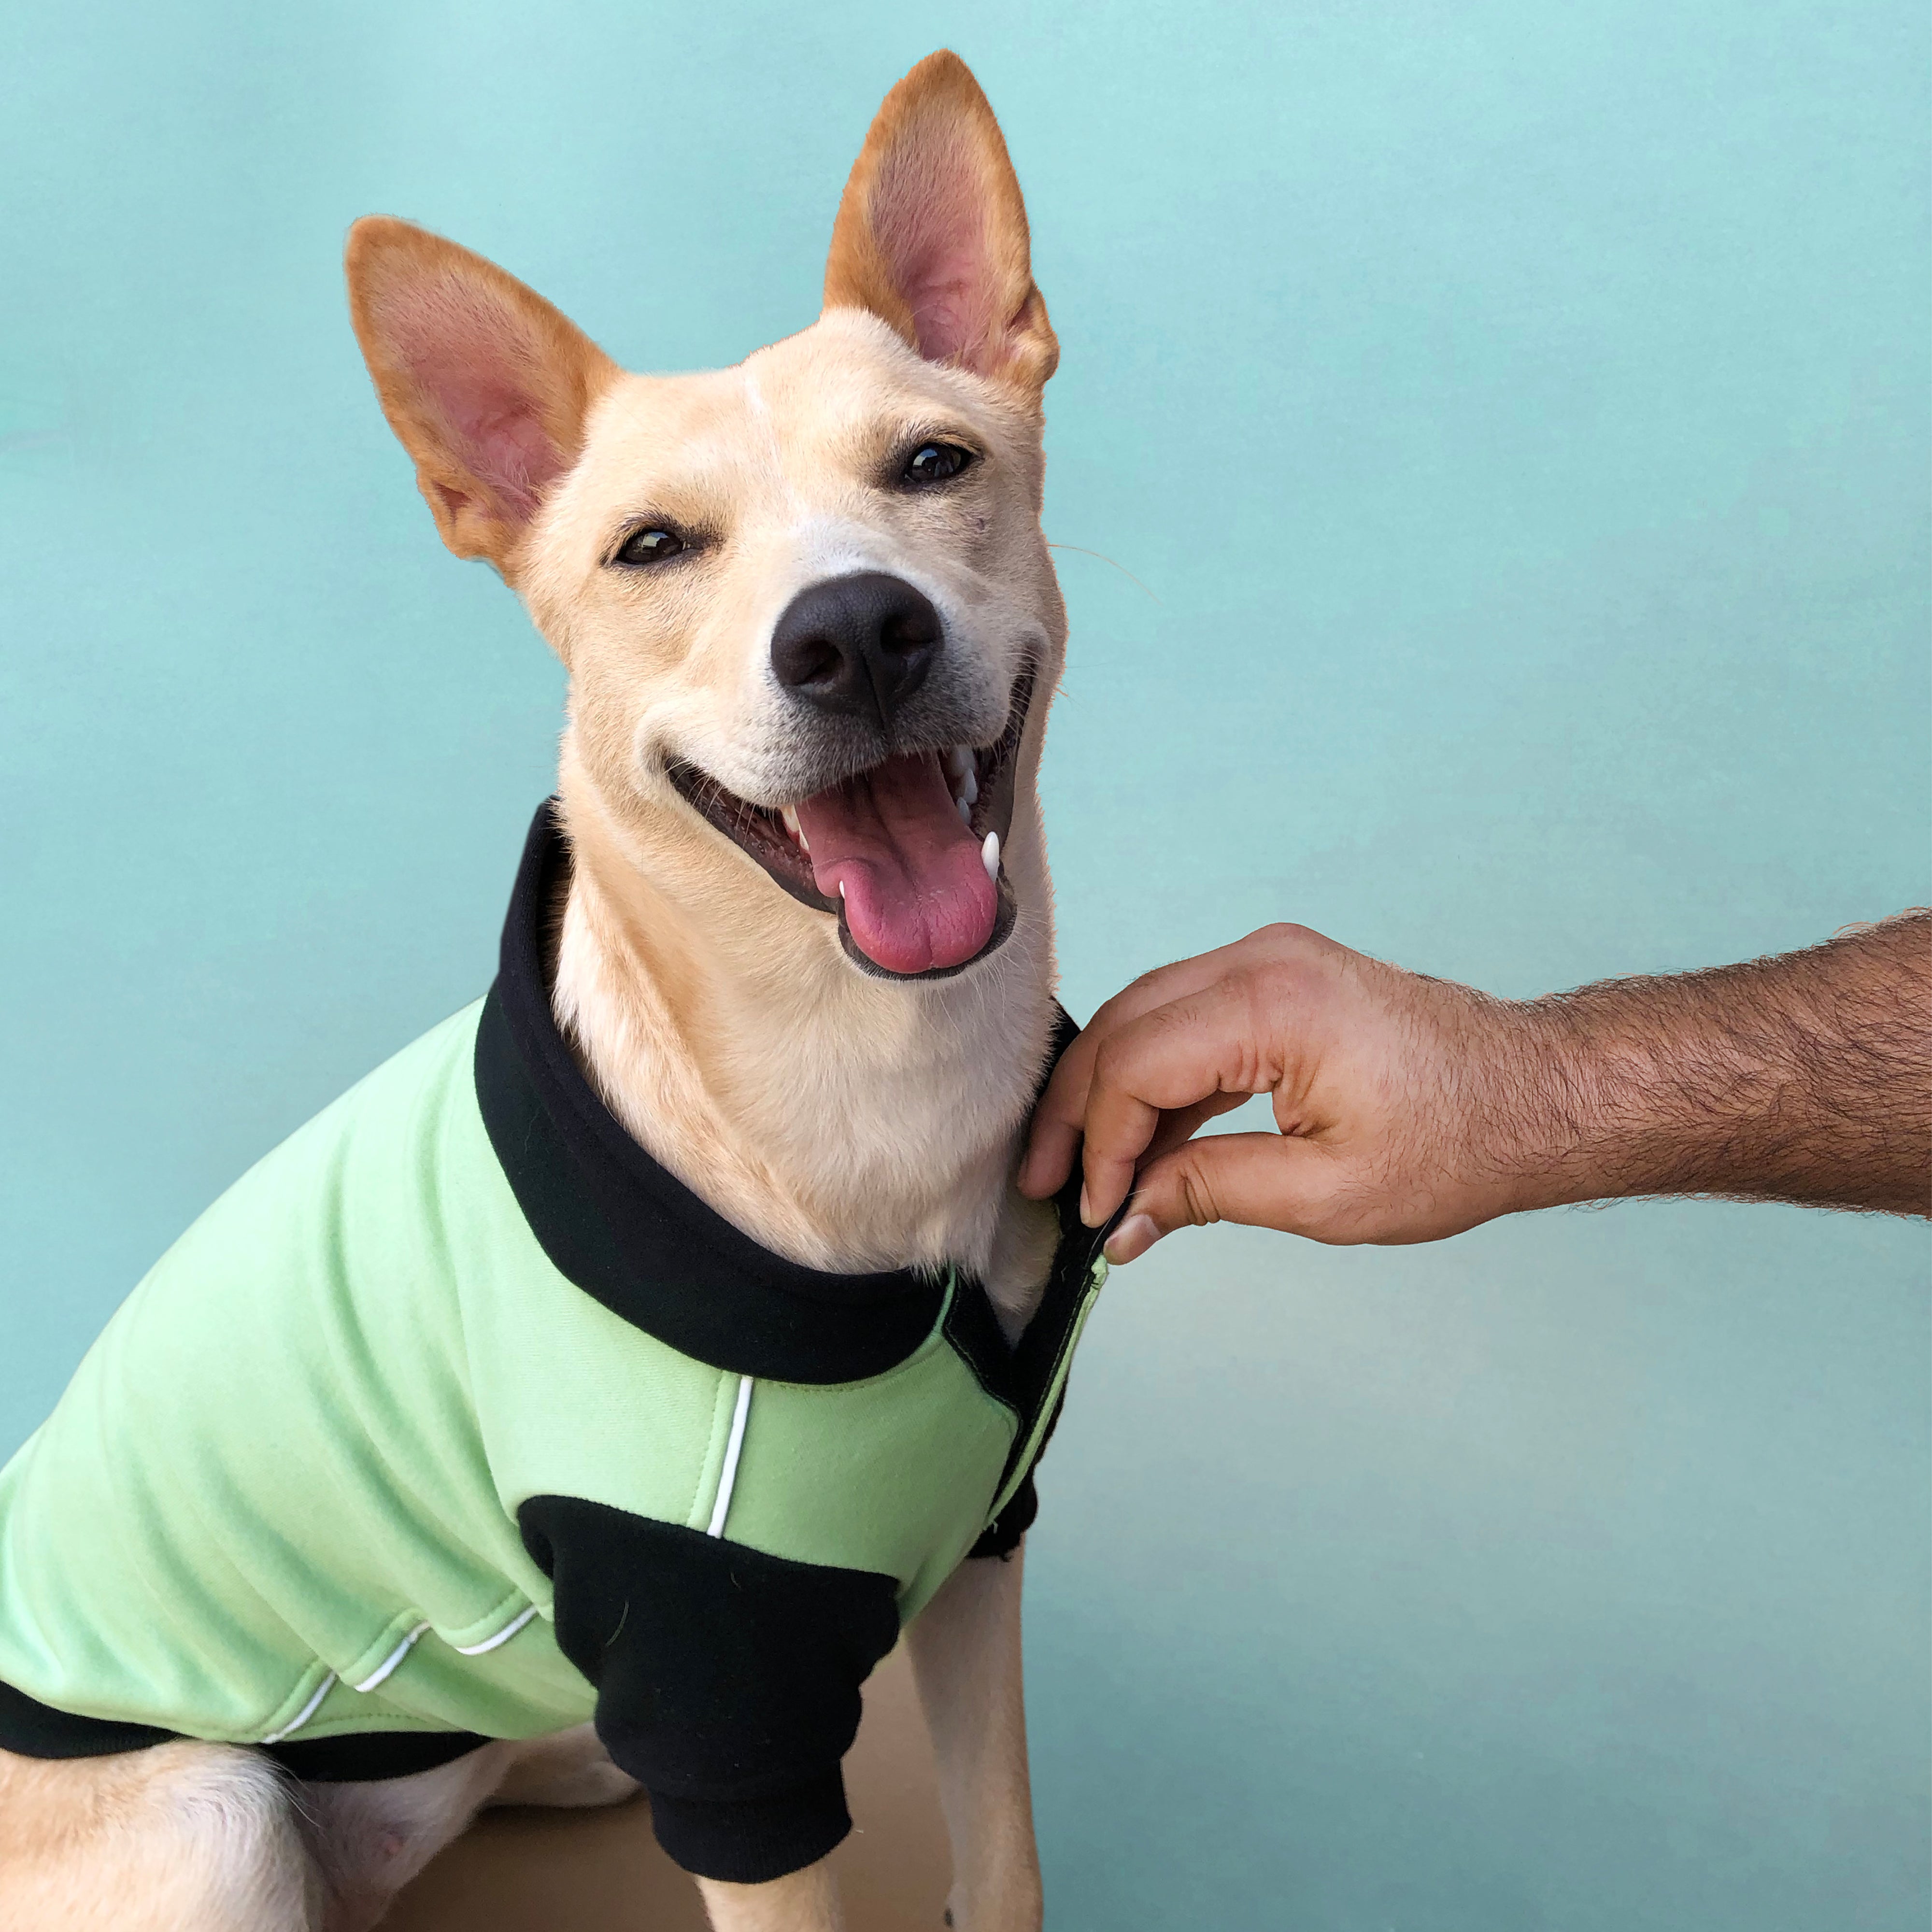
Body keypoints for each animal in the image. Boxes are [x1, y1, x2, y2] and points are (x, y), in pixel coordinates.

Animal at [0, 45, 1090, 1932]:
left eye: (934, 461)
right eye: (652, 548)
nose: (853, 633)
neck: (860, 1085)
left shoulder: (979, 1563)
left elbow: (1005, 1862)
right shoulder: (732, 1723)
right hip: (211, 1811)